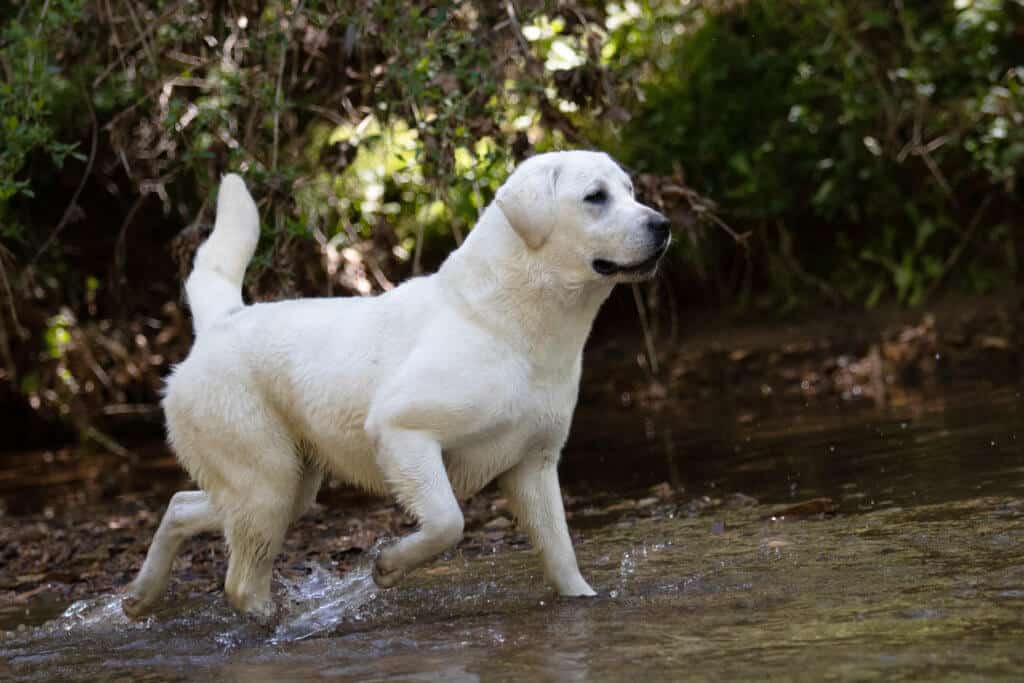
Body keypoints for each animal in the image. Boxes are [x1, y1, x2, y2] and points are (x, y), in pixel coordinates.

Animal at [121, 150, 671, 618]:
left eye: (630, 190)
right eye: (595, 196)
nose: (663, 225)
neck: (505, 323)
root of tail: (220, 320)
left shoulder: (534, 466)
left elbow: (560, 551)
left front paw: (582, 598)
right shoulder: (403, 431)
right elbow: (449, 521)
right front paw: (387, 568)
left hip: (285, 484)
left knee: (181, 507)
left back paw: (140, 598)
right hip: (265, 479)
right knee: (239, 581)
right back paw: (270, 621)